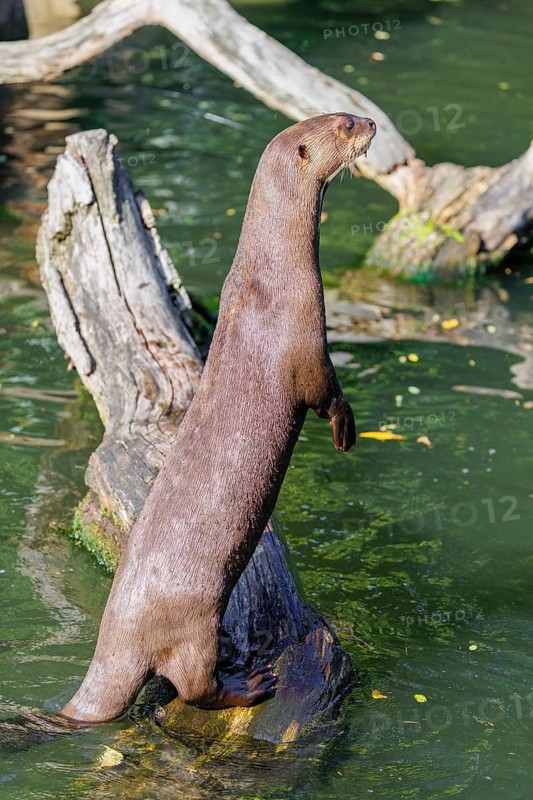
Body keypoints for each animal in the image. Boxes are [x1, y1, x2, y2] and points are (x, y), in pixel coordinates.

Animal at [61, 113, 376, 721]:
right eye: (344, 124)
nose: (372, 123)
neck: (272, 271)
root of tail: (116, 641)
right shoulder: (305, 341)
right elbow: (326, 393)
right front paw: (346, 432)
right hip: (194, 622)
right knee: (192, 684)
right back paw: (249, 685)